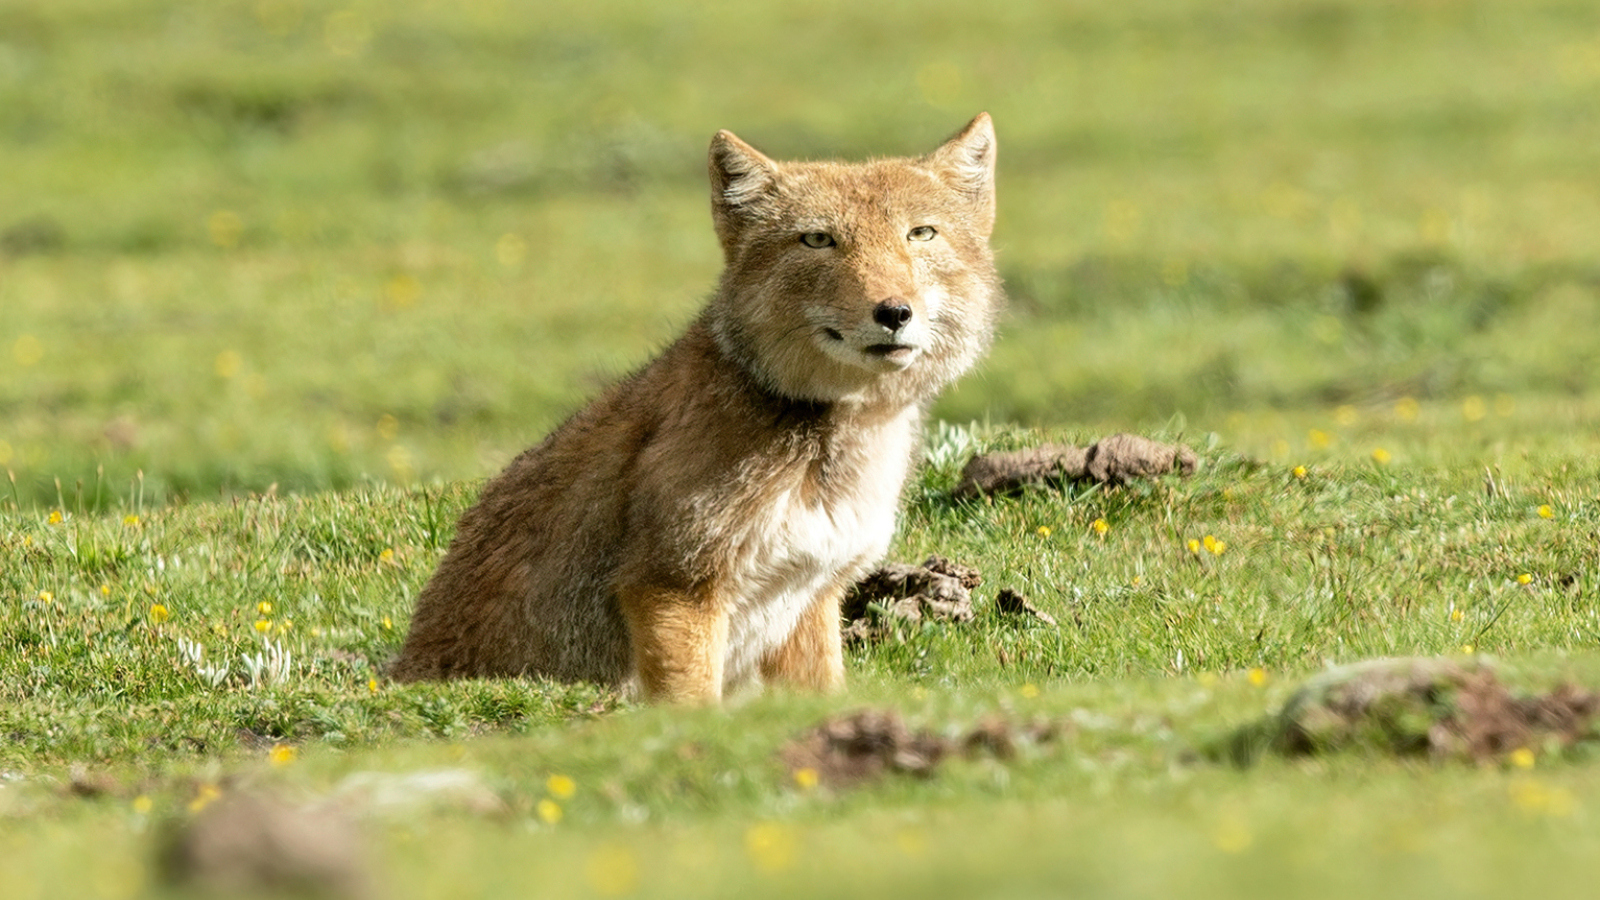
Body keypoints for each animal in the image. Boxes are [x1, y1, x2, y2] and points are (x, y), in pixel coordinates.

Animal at [389, 114, 1002, 703]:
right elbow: (692, 704)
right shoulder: (674, 587)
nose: (893, 312)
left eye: (920, 233)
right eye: (818, 240)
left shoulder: (809, 595)